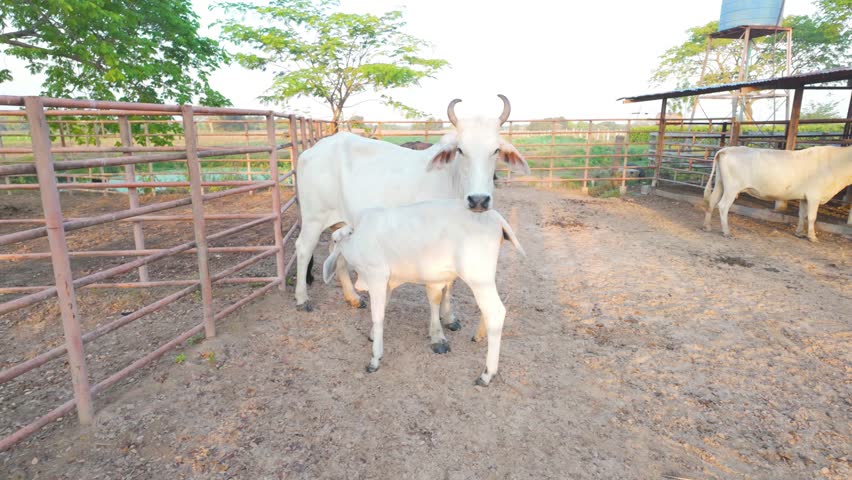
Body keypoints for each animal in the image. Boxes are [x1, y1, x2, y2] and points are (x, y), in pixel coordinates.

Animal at [294, 95, 530, 315]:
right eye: (461, 150)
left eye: (496, 150)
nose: (478, 200)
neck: (452, 181)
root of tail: (310, 151)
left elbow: (450, 283)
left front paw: (449, 316)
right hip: (314, 217)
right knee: (303, 249)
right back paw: (302, 298)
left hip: (341, 221)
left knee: (338, 253)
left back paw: (352, 296)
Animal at [321, 199, 525, 386]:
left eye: (336, 239)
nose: (339, 237)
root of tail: (495, 217)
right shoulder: (387, 282)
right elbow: (384, 309)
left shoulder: (377, 275)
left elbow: (378, 318)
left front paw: (375, 358)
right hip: (484, 277)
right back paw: (479, 336)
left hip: (477, 277)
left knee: (496, 312)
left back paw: (487, 374)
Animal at [703, 145, 852, 241]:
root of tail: (727, 149)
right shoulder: (814, 196)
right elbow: (812, 217)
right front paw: (812, 237)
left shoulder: (804, 197)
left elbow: (802, 215)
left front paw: (799, 233)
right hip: (732, 187)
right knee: (723, 206)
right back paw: (726, 232)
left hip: (720, 183)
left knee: (712, 201)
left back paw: (707, 226)